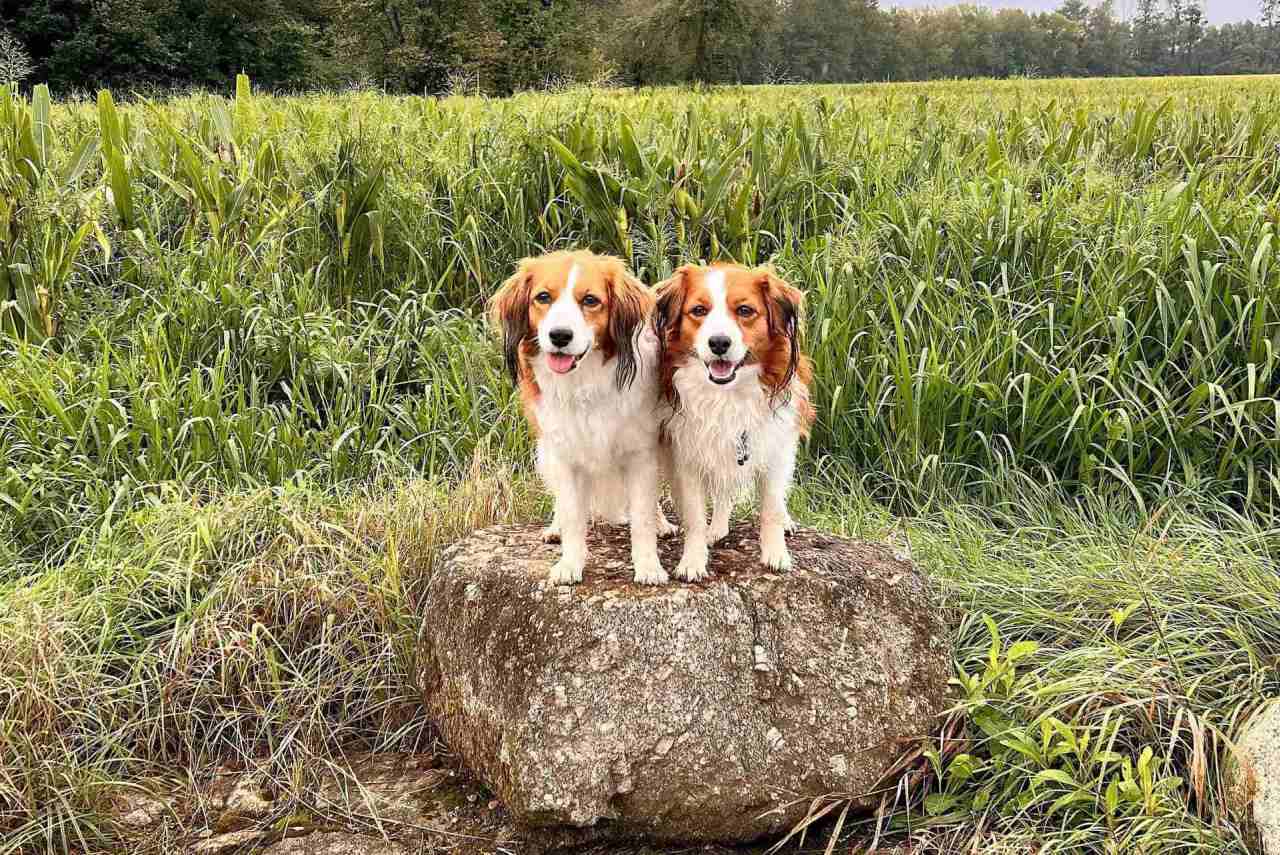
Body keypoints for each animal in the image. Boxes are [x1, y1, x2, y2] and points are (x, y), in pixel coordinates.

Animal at [488, 250, 675, 583]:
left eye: (590, 300)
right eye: (543, 297)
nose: (559, 336)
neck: (584, 382)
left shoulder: (641, 455)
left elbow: (641, 517)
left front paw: (648, 565)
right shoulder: (565, 454)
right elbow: (574, 515)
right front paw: (570, 564)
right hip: (545, 451)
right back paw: (555, 528)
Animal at [655, 261, 814, 581]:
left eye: (744, 310)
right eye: (699, 310)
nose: (718, 342)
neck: (727, 395)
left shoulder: (774, 446)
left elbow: (771, 508)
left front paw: (775, 553)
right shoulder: (688, 453)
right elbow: (694, 516)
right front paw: (693, 560)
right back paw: (715, 529)